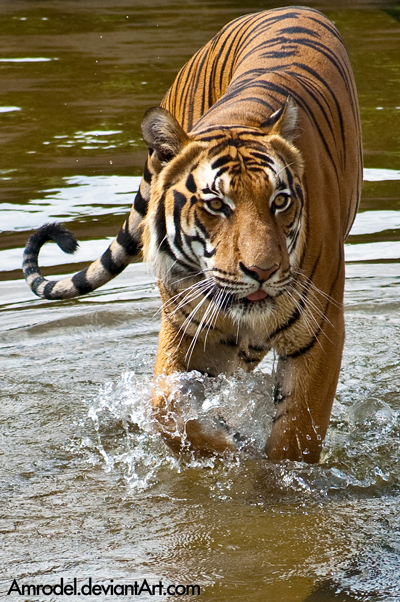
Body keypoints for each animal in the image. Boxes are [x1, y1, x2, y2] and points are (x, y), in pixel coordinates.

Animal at [22, 7, 362, 462]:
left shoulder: (320, 333)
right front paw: (225, 449)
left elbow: (294, 440)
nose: (262, 272)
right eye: (216, 204)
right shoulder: (187, 327)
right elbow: (165, 408)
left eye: (280, 201)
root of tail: (285, 9)